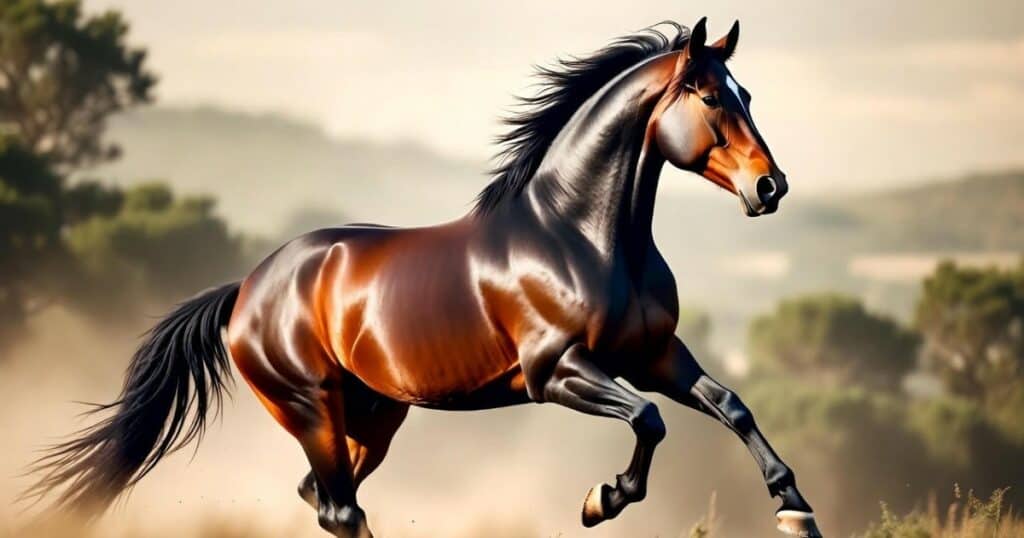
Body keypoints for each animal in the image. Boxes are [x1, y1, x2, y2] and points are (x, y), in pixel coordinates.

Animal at [25, 18, 821, 538]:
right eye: (711, 97)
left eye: (748, 95)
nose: (771, 187)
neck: (580, 237)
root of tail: (246, 289)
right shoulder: (558, 371)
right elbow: (649, 420)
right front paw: (601, 499)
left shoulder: (652, 354)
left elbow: (731, 406)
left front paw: (795, 510)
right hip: (309, 407)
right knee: (339, 506)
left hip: (374, 417)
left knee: (325, 499)